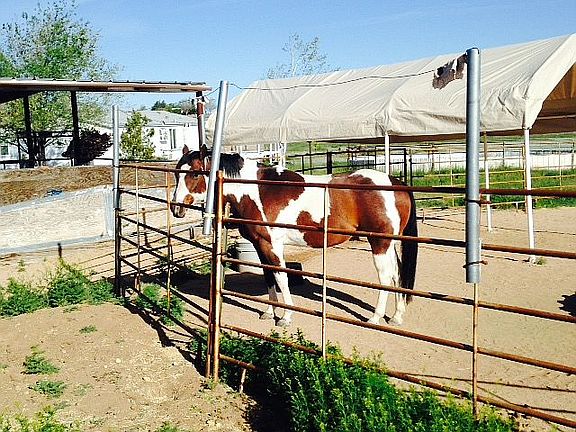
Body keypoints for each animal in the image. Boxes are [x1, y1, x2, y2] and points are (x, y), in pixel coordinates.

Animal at [171, 145, 418, 327]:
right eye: (176, 173)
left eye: (194, 173)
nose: (176, 208)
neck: (257, 189)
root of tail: (397, 184)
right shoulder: (260, 245)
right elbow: (268, 276)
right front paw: (270, 312)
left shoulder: (273, 245)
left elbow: (281, 277)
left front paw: (286, 317)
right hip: (390, 243)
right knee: (397, 273)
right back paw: (396, 316)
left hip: (379, 243)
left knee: (385, 276)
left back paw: (375, 317)